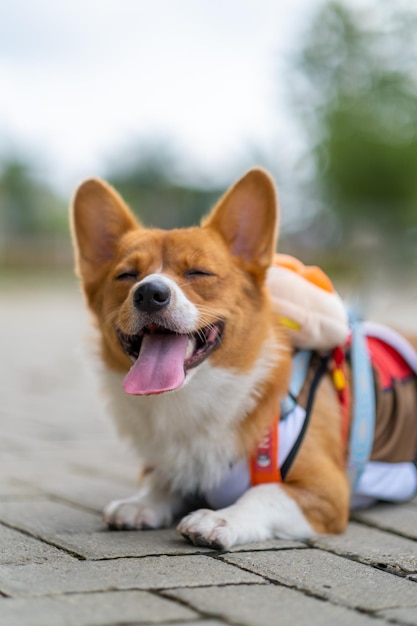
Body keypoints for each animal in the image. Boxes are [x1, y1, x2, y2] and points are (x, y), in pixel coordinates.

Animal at [71, 166, 416, 544]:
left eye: (199, 272)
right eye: (126, 275)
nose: (149, 293)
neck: (192, 398)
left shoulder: (325, 491)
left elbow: (263, 493)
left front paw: (220, 519)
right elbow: (161, 480)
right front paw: (142, 502)